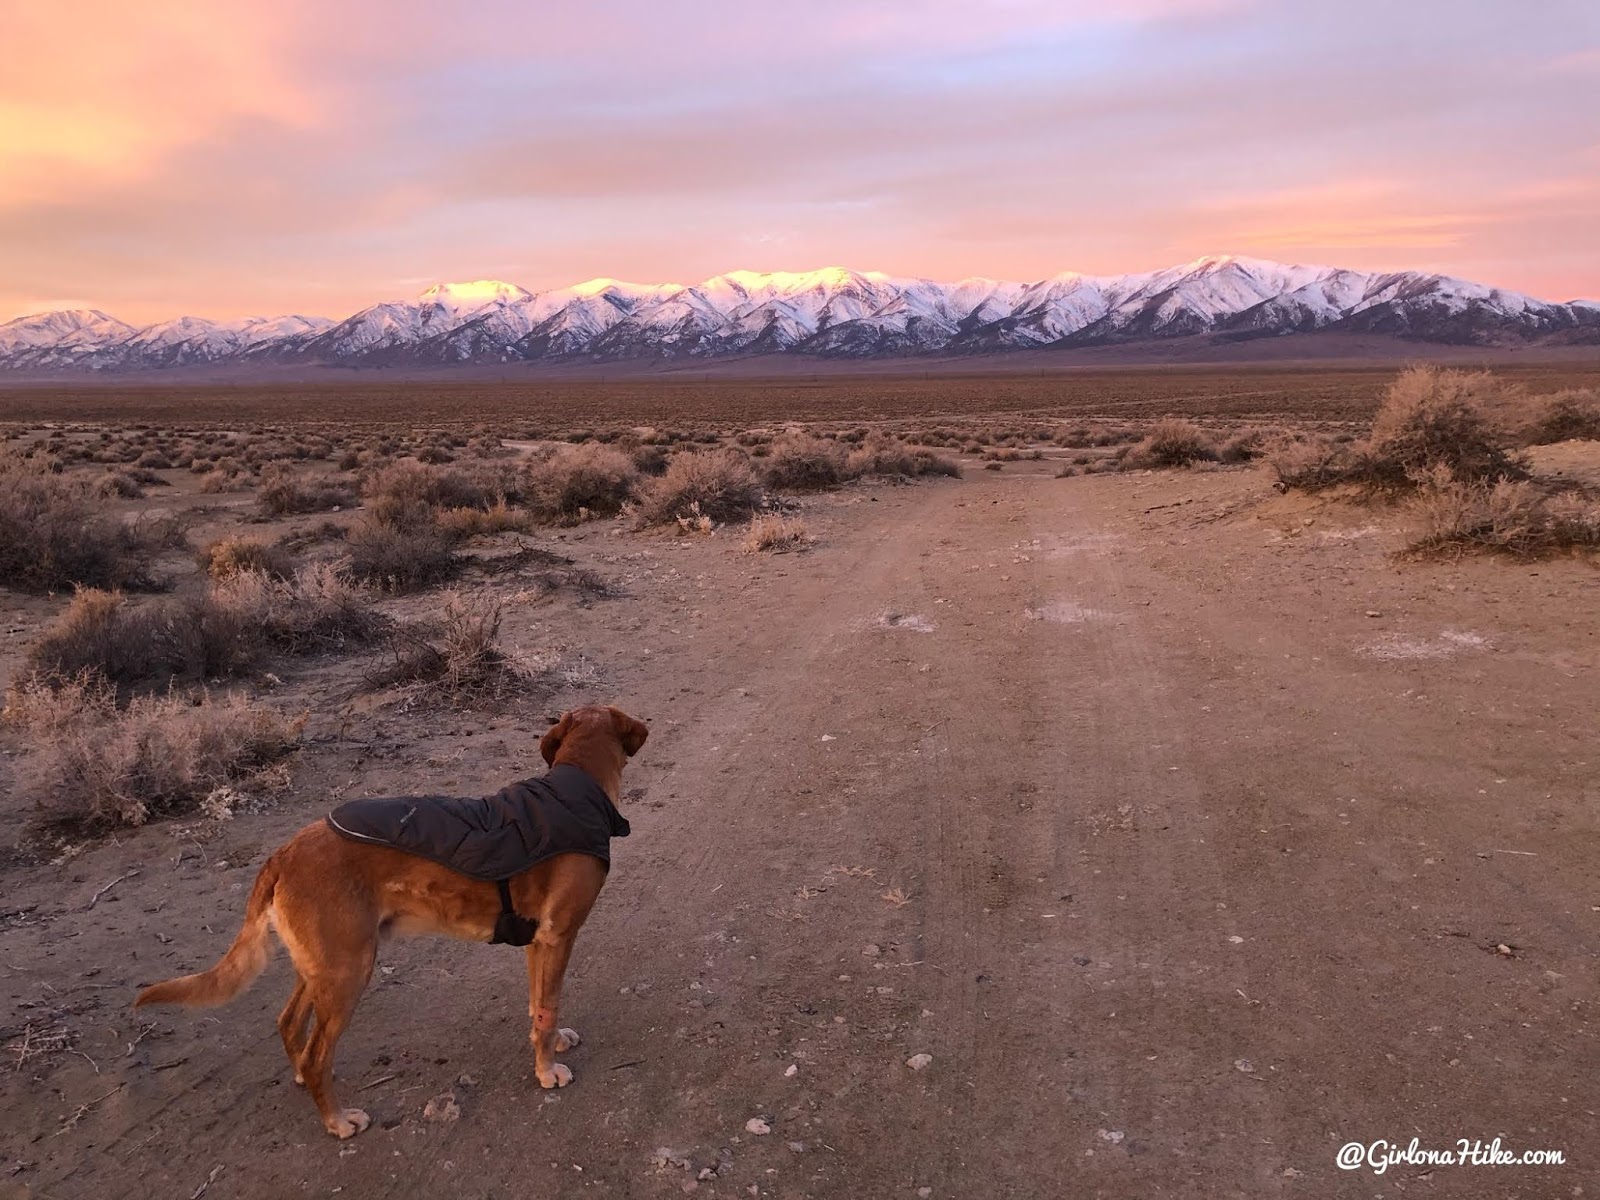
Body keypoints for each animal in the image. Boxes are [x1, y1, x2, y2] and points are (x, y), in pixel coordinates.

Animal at [132, 704, 643, 1139]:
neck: (574, 789)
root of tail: (284, 853)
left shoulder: (537, 942)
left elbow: (539, 1006)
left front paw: (548, 1047)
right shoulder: (557, 936)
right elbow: (547, 1007)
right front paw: (545, 1071)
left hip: (322, 967)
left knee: (290, 1024)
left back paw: (303, 1078)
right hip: (348, 972)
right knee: (317, 1055)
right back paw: (337, 1120)